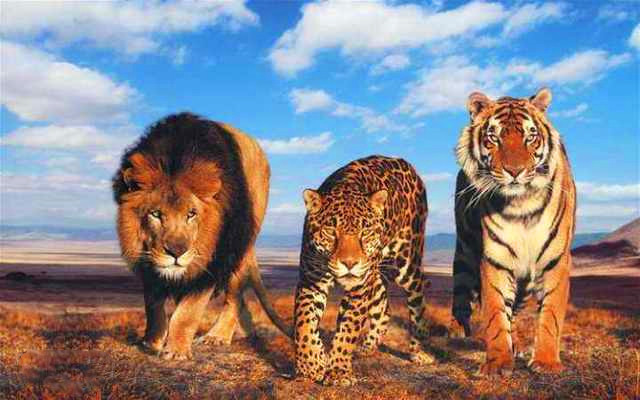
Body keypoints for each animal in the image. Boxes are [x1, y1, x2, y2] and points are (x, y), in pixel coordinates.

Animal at [294, 155, 434, 386]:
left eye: (365, 231)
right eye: (331, 231)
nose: (350, 263)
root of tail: (405, 162)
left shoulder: (359, 288)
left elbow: (348, 329)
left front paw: (338, 371)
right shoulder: (311, 281)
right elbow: (304, 323)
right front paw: (310, 365)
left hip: (407, 262)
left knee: (418, 297)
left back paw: (420, 351)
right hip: (375, 274)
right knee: (384, 309)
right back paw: (367, 347)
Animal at [451, 88, 576, 375]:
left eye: (530, 136)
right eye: (493, 137)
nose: (515, 171)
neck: (521, 205)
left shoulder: (556, 260)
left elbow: (551, 314)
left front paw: (546, 361)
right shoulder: (495, 259)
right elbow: (496, 314)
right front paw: (497, 363)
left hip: (526, 282)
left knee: (516, 311)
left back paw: (517, 344)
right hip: (464, 251)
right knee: (461, 293)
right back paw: (455, 333)